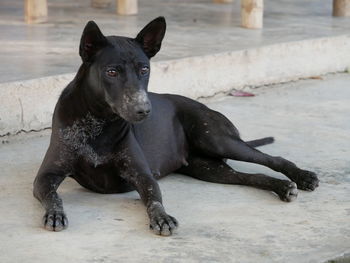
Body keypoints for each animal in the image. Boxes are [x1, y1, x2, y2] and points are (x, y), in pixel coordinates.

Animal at [33, 18, 320, 237]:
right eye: (111, 72)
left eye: (144, 69)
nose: (144, 109)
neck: (98, 122)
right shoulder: (46, 176)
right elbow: (54, 196)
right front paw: (55, 213)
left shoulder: (143, 176)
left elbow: (154, 198)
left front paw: (162, 217)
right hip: (209, 169)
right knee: (251, 177)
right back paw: (281, 187)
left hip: (216, 138)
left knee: (273, 159)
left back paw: (302, 177)